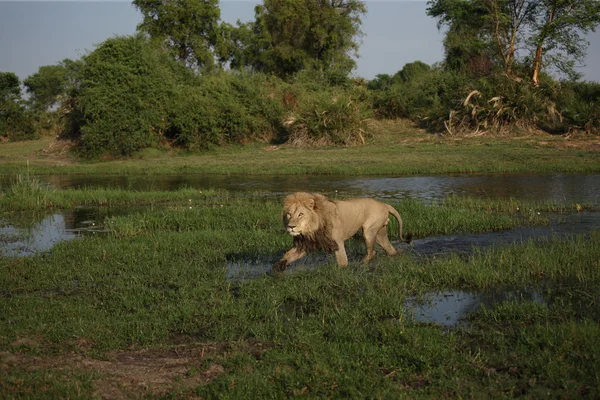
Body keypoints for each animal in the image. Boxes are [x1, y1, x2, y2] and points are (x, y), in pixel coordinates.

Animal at [274, 191, 410, 272]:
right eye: (289, 214)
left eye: (300, 214)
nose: (291, 226)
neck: (312, 229)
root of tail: (383, 204)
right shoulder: (306, 244)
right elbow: (289, 255)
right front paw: (278, 266)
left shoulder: (337, 241)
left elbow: (342, 260)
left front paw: (341, 270)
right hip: (380, 233)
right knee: (390, 249)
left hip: (369, 230)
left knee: (372, 252)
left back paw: (361, 264)